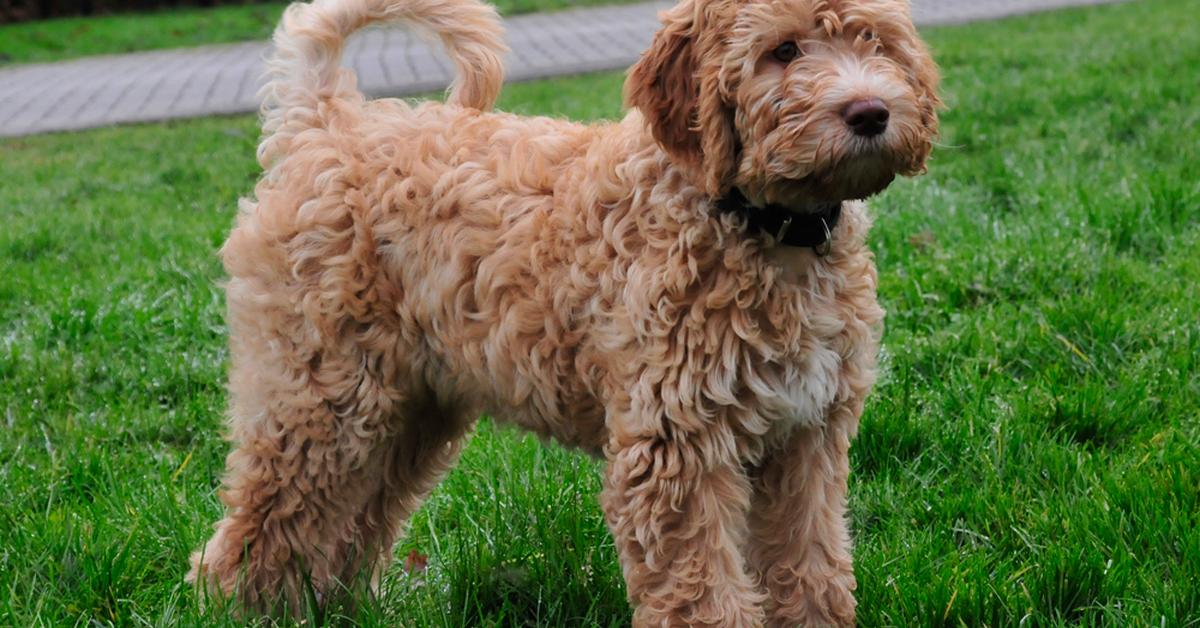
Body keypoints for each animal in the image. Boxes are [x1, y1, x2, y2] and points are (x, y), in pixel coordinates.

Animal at [187, 0, 936, 624]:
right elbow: (704, 593)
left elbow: (810, 571)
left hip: (412, 407)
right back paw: (242, 608)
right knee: (263, 521)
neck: (758, 227)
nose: (870, 112)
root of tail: (324, 122)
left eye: (874, 40)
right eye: (782, 50)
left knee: (349, 522)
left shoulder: (808, 439)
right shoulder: (675, 448)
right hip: (322, 393)